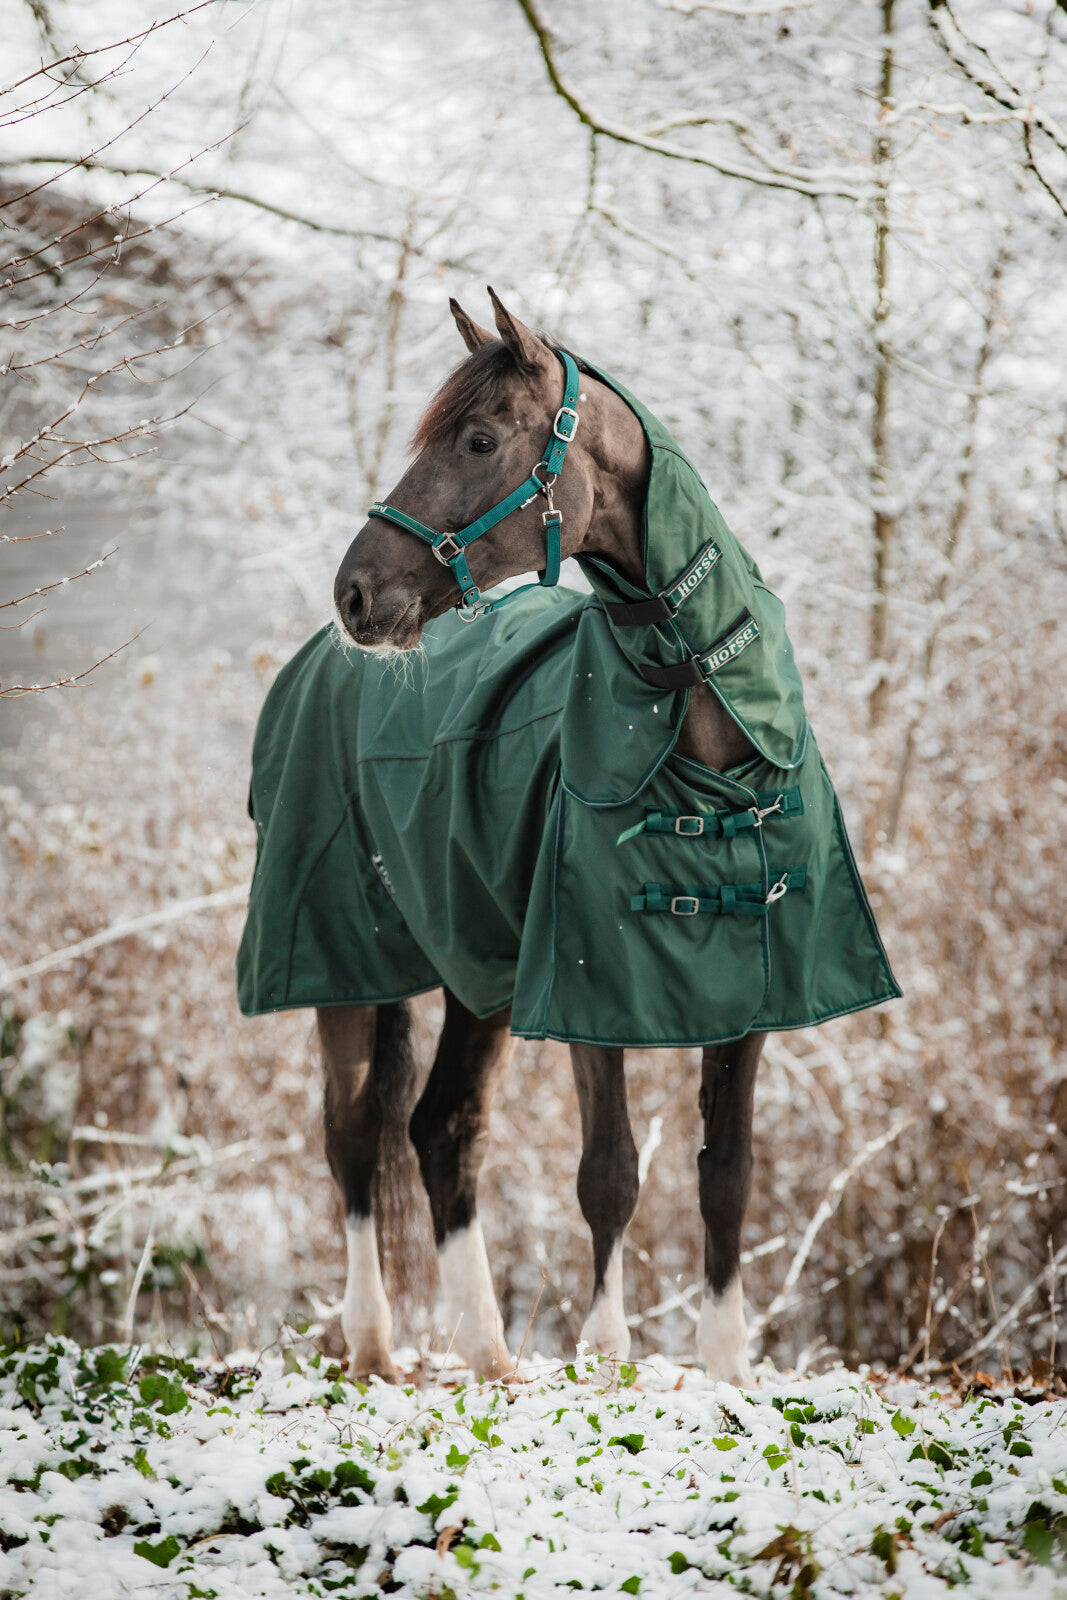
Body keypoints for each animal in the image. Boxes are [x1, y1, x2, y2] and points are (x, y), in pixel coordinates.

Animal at [239, 288, 899, 1384]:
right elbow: (609, 1173)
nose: (356, 595)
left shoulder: (752, 995)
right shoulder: (592, 987)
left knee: (440, 1127)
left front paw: (725, 1367)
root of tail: (321, 662)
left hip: (480, 971)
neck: (704, 747)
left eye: (477, 438)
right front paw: (605, 1357)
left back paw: (487, 1353)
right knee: (354, 1131)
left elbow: (727, 1172)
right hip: (345, 958)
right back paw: (379, 1341)